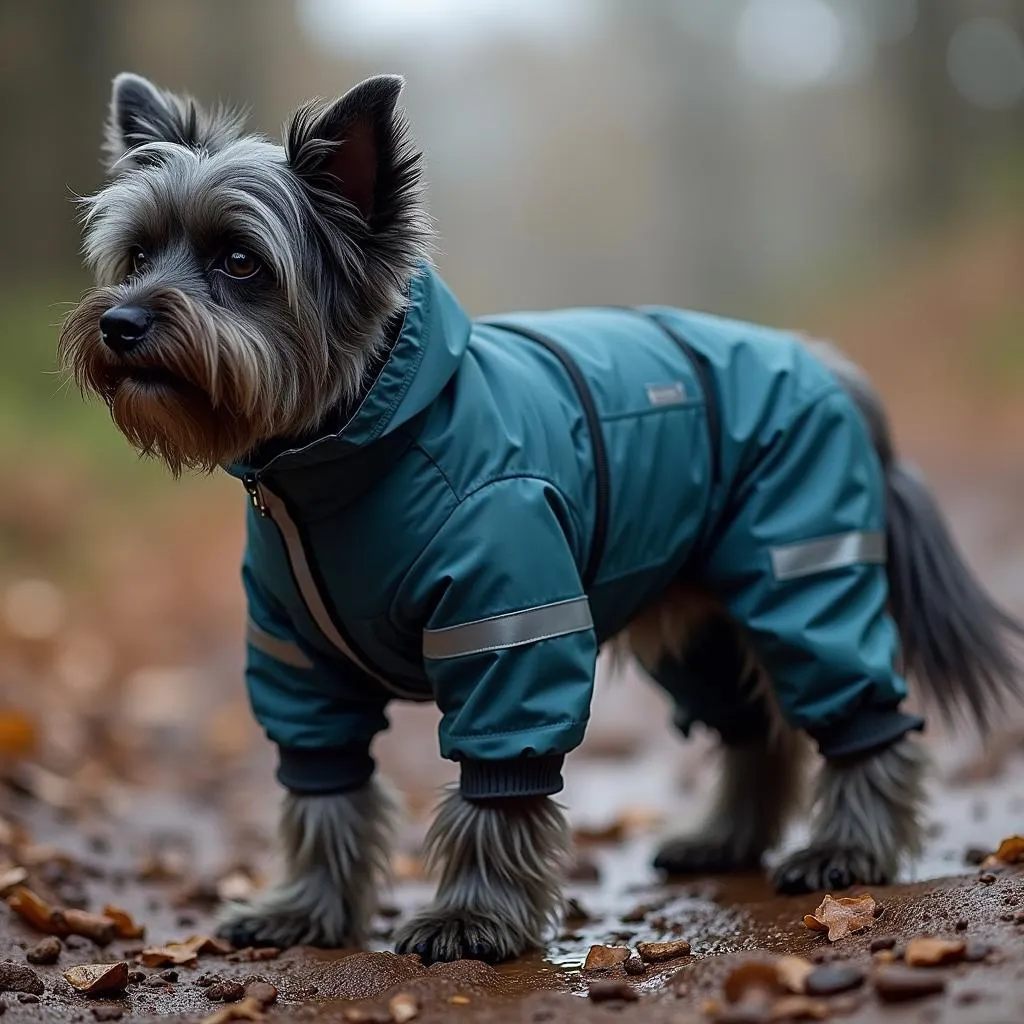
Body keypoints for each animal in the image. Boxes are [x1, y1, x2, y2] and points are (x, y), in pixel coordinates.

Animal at [58, 75, 1024, 962]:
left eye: (240, 262)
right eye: (138, 255)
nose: (121, 322)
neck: (349, 452)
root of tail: (828, 366)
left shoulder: (507, 636)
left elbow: (498, 790)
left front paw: (472, 920)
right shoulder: (299, 663)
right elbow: (323, 794)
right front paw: (304, 909)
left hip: (804, 577)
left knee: (863, 721)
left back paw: (849, 851)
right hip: (697, 621)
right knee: (757, 733)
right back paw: (724, 839)